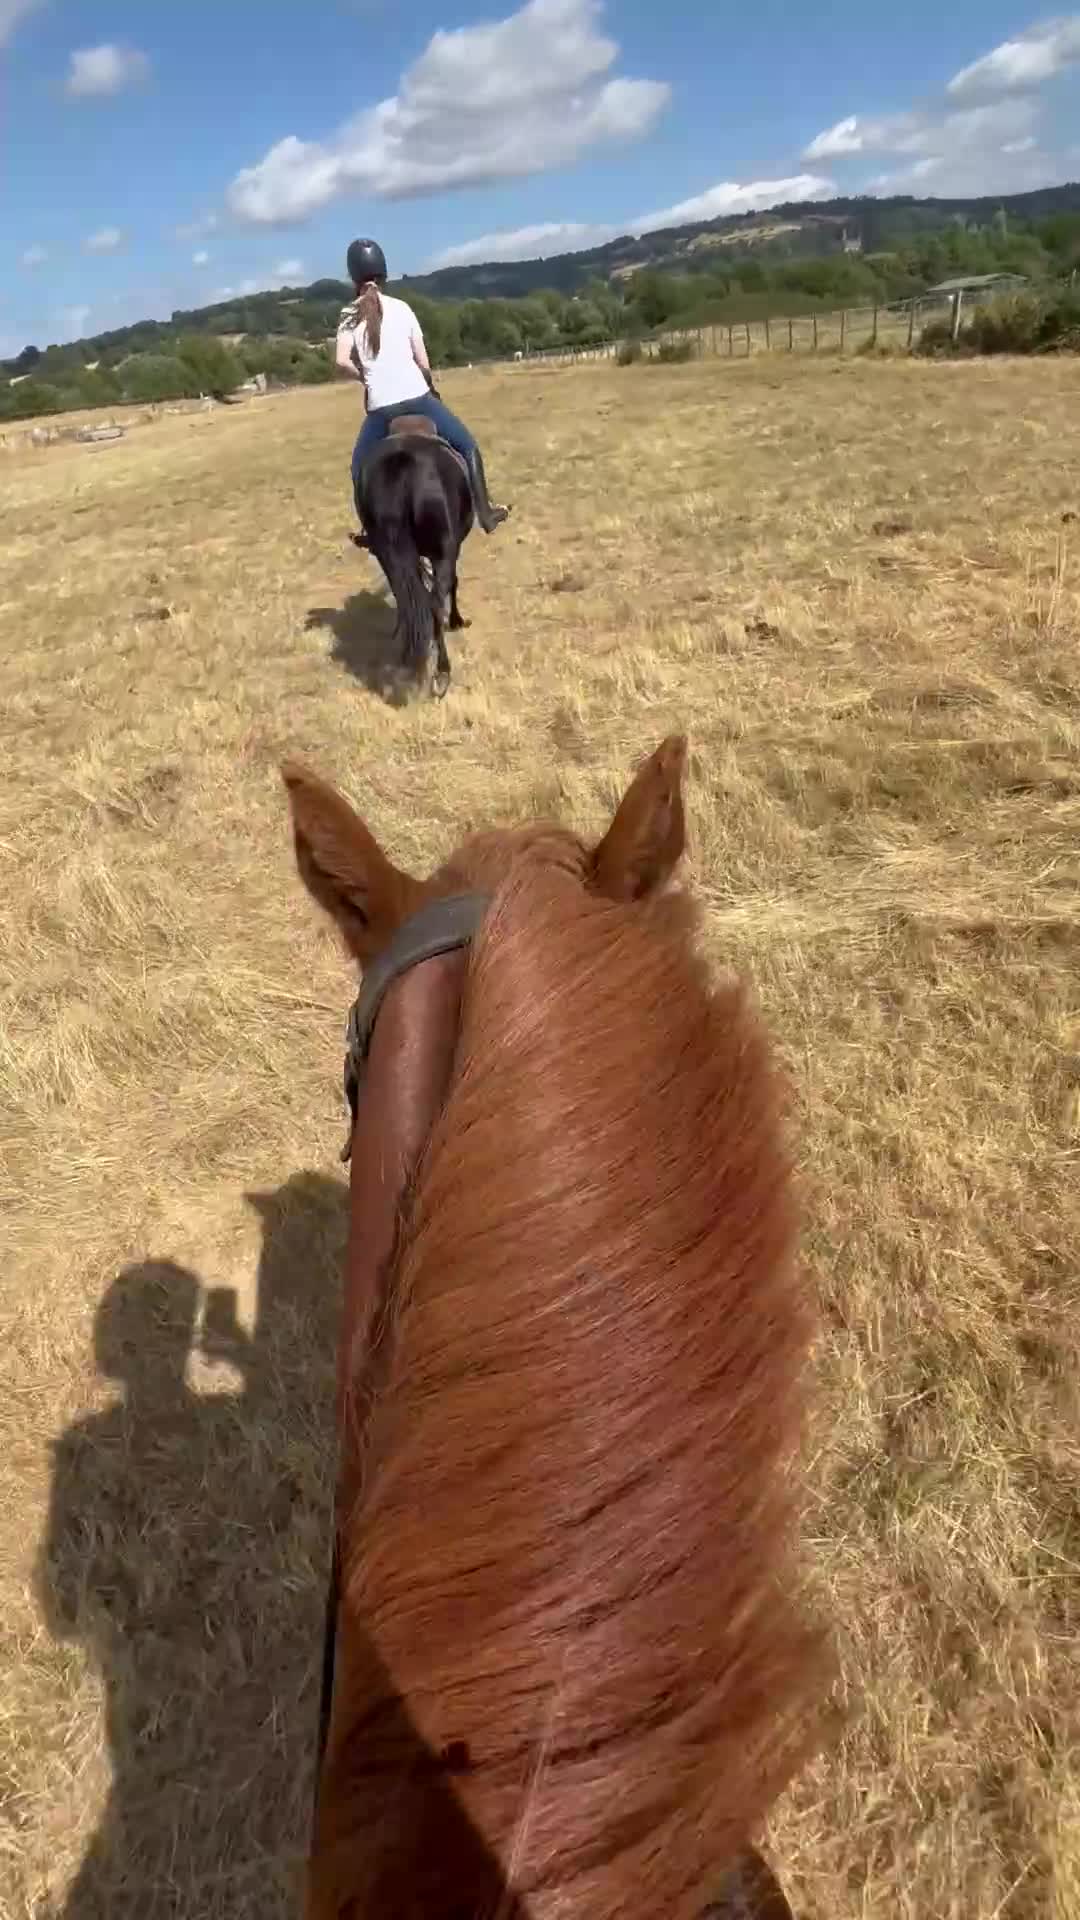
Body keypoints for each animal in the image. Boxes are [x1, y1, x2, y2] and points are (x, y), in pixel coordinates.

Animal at [354, 414, 473, 701]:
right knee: (435, 600)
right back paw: (442, 672)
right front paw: (457, 621)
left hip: (387, 553)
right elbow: (453, 583)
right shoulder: (451, 548)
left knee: (407, 599)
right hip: (443, 551)